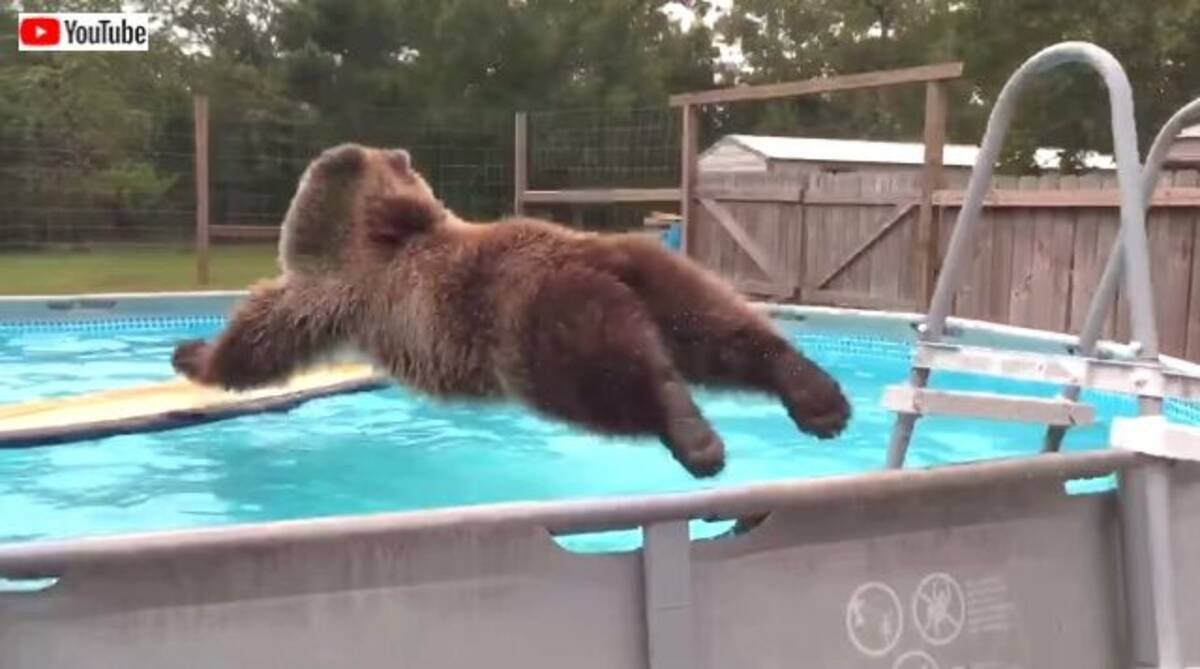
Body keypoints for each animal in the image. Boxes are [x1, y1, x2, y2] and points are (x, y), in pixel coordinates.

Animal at [174, 144, 854, 479]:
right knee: (717, 329)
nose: (397, 151)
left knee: (613, 380)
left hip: (536, 328)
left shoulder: (332, 293)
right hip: (656, 276)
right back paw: (816, 397)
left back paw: (692, 434)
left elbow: (259, 339)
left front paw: (193, 354)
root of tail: (595, 264)